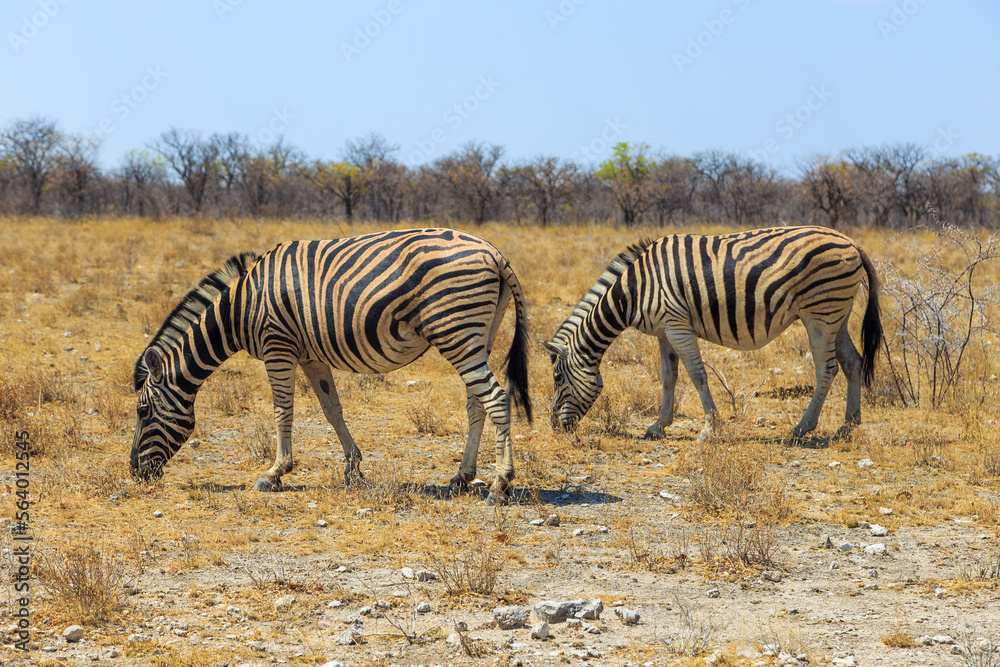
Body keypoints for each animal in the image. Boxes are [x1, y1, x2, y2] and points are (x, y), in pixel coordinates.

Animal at [131, 228, 532, 505]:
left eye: (143, 411)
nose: (135, 472)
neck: (240, 309)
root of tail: (495, 253)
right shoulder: (311, 355)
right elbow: (331, 409)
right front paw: (353, 468)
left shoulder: (278, 346)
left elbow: (283, 410)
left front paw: (274, 473)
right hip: (479, 335)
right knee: (476, 403)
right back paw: (462, 476)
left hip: (456, 331)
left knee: (497, 399)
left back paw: (500, 484)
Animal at [544, 226, 883, 443]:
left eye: (558, 378)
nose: (555, 427)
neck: (634, 291)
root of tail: (852, 242)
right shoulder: (664, 331)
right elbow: (668, 377)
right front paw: (658, 426)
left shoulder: (678, 325)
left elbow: (697, 375)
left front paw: (708, 431)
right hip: (837, 314)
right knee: (853, 362)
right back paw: (849, 425)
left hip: (820, 314)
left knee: (827, 368)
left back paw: (802, 429)